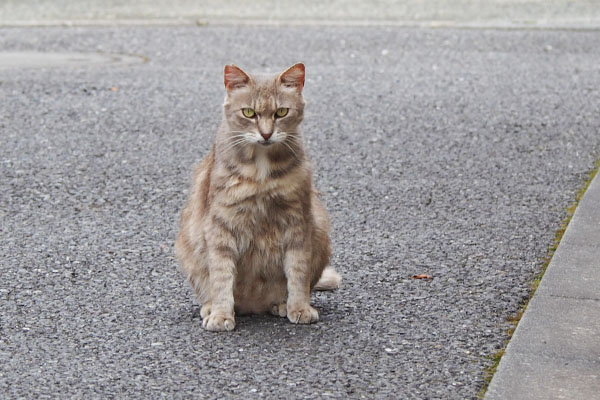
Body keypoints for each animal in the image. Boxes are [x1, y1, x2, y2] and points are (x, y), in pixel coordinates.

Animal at [176, 62, 340, 332]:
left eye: (281, 112)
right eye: (249, 112)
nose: (265, 134)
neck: (261, 171)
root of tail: (255, 306)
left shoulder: (298, 221)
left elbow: (298, 272)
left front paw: (299, 308)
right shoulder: (220, 225)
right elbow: (221, 276)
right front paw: (221, 314)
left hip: (320, 229)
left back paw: (281, 304)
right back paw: (212, 307)